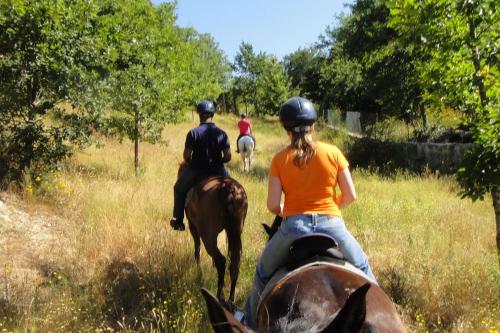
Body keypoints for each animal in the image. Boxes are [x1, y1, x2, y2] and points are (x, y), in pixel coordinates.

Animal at [180, 162, 248, 302]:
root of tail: (229, 189)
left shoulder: (193, 226)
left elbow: (197, 248)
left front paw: (199, 272)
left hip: (207, 236)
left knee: (221, 261)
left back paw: (219, 296)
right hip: (235, 233)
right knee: (234, 263)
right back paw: (231, 299)